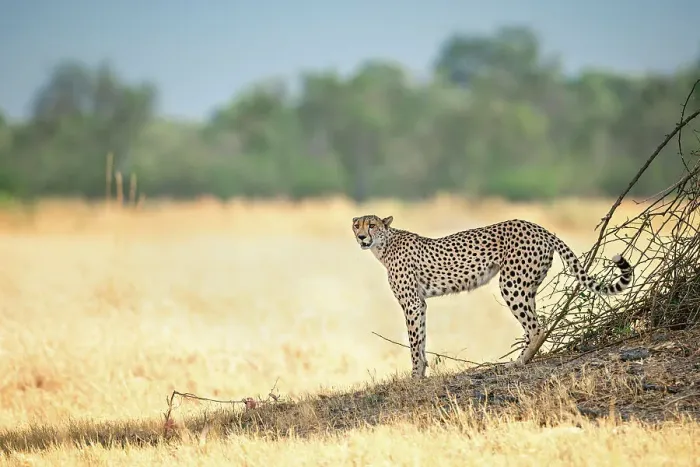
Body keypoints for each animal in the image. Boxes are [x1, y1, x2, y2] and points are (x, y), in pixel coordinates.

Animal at [351, 214, 634, 379]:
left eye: (372, 225)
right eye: (357, 225)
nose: (362, 236)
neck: (384, 245)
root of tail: (538, 227)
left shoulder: (411, 302)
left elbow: (414, 342)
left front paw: (415, 377)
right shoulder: (419, 303)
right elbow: (420, 339)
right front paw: (421, 373)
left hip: (511, 283)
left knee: (536, 327)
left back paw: (518, 363)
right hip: (527, 285)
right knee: (534, 324)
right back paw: (524, 359)